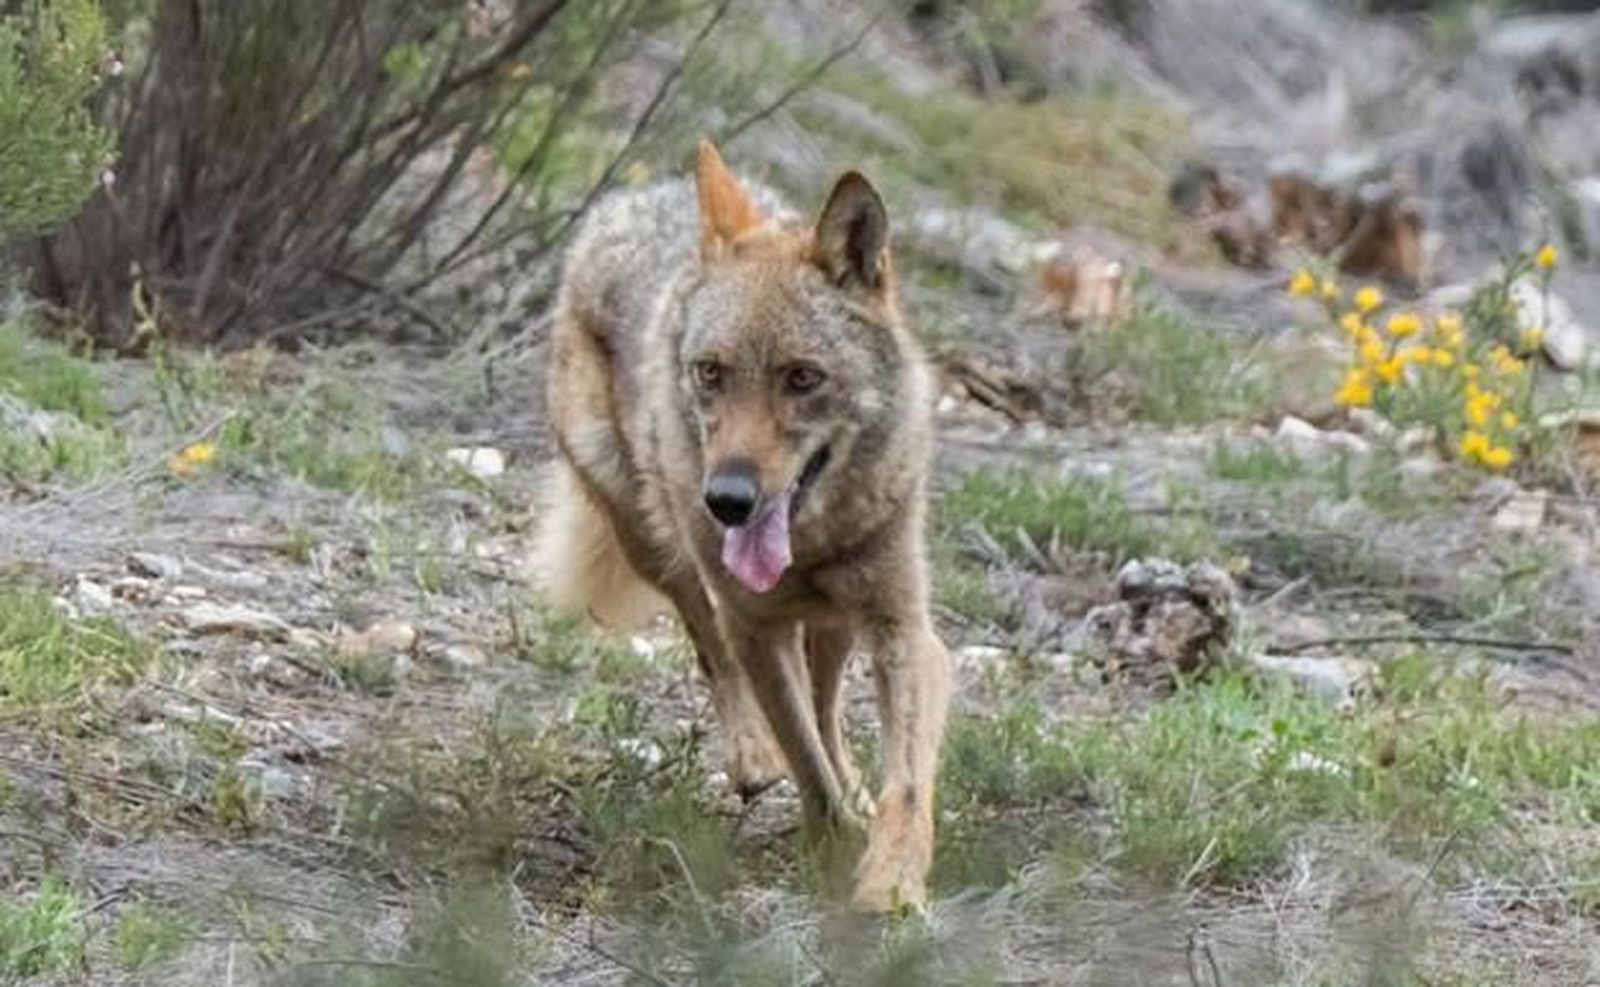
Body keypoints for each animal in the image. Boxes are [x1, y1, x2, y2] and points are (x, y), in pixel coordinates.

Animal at [534, 141, 952, 911]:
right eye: (711, 372)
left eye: (802, 378)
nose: (726, 499)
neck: (814, 542)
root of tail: (635, 199)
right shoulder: (754, 625)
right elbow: (804, 761)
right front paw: (834, 843)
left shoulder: (904, 631)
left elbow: (903, 782)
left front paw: (890, 884)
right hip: (656, 543)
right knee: (712, 648)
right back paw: (755, 759)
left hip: (834, 624)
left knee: (826, 707)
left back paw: (854, 788)